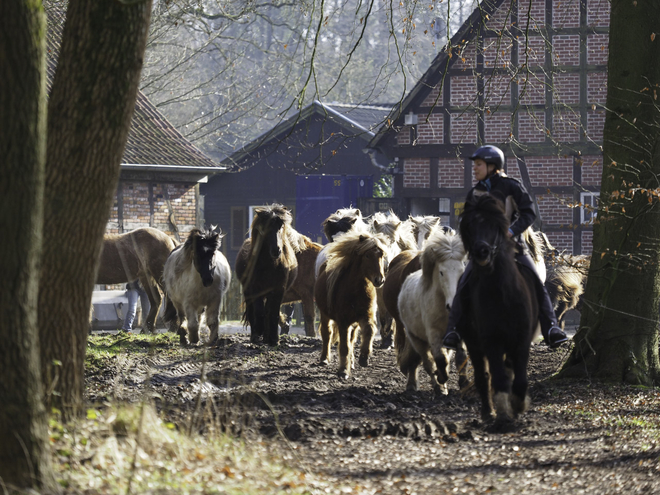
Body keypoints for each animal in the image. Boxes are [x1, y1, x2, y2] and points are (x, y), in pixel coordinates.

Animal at [236, 203, 308, 346]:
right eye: (265, 228)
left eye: (281, 227)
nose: (276, 251)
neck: (270, 265)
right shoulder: (255, 289)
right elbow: (259, 312)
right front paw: (258, 335)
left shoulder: (278, 290)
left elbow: (273, 312)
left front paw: (274, 339)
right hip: (248, 292)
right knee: (254, 311)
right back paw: (256, 335)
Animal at [314, 232, 386, 380]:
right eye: (367, 255)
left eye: (381, 254)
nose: (379, 280)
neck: (356, 291)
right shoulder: (343, 322)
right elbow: (344, 347)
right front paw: (343, 371)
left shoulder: (365, 316)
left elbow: (369, 331)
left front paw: (364, 358)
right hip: (325, 315)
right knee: (327, 333)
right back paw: (324, 359)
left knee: (352, 339)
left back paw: (352, 363)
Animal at [394, 229, 466, 396]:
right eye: (441, 272)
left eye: (461, 271)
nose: (452, 305)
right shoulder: (433, 334)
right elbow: (439, 360)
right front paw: (441, 380)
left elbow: (460, 358)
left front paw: (464, 384)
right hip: (416, 338)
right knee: (425, 362)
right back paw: (424, 385)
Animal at [456, 194, 540, 422]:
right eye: (469, 226)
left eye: (494, 225)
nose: (481, 252)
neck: (502, 295)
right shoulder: (491, 341)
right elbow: (498, 378)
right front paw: (503, 410)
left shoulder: (522, 339)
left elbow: (519, 378)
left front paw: (518, 404)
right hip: (474, 343)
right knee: (483, 375)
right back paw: (488, 411)